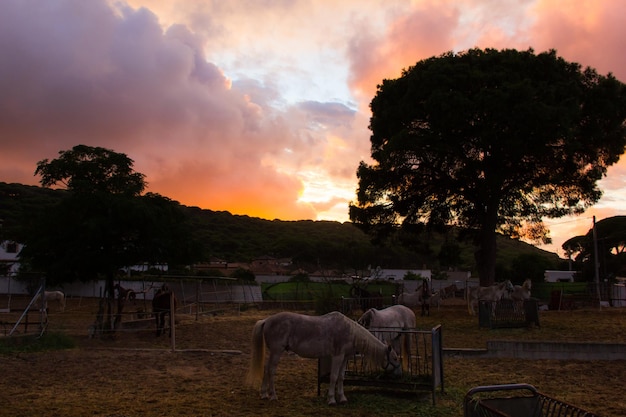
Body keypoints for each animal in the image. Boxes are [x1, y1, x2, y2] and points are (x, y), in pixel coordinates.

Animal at [245, 308, 400, 404]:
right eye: (395, 358)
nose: (399, 373)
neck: (350, 332)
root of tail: (266, 320)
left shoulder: (344, 358)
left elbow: (341, 377)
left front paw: (342, 398)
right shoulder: (337, 357)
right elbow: (334, 377)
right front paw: (332, 400)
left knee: (266, 369)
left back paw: (264, 394)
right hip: (277, 351)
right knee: (271, 370)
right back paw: (273, 396)